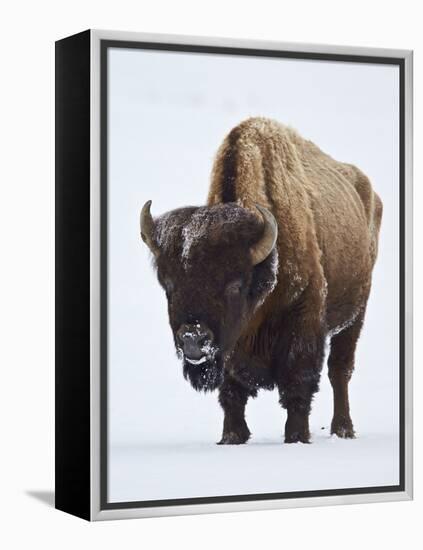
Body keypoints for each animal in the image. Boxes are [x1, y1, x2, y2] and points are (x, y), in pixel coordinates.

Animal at [140, 118, 384, 446]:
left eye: (235, 285)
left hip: (355, 316)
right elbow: (232, 392)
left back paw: (343, 429)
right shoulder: (230, 346)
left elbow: (297, 386)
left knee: (340, 370)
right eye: (168, 284)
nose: (193, 337)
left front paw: (296, 436)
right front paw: (231, 436)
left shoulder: (303, 323)